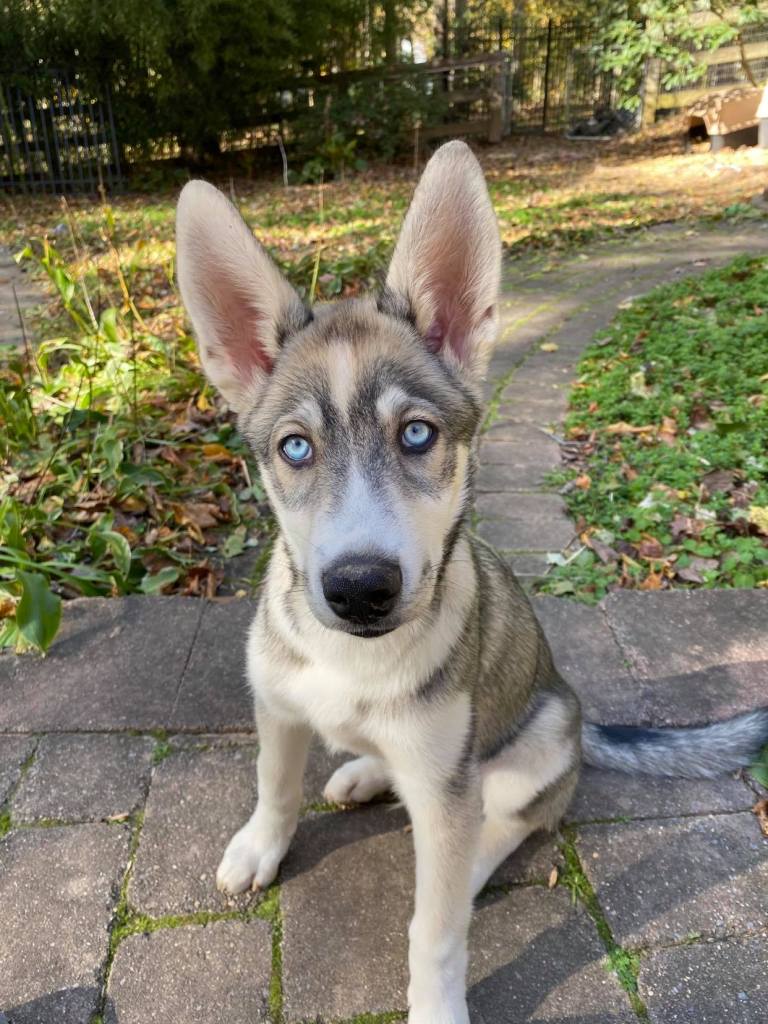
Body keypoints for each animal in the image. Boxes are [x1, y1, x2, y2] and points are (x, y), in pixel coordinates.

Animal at [176, 141, 768, 1023]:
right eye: (294, 448)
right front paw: (261, 846)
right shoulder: (277, 705)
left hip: (533, 744)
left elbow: (437, 927)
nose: (359, 588)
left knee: (499, 828)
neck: (355, 663)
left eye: (418, 435)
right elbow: (274, 785)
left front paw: (436, 1004)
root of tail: (581, 715)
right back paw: (362, 770)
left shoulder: (446, 798)